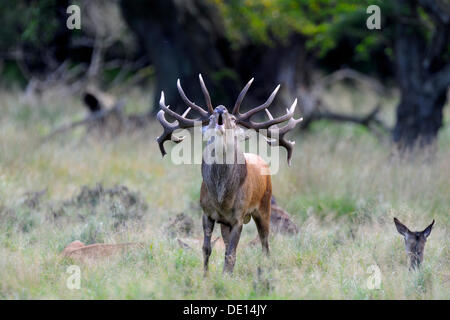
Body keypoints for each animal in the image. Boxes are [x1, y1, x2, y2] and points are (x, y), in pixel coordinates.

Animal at [156, 74, 300, 272]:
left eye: (233, 118)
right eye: (209, 118)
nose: (220, 108)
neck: (222, 198)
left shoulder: (238, 217)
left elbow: (231, 253)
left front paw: (226, 276)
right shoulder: (207, 213)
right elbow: (207, 249)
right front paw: (206, 275)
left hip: (265, 206)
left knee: (265, 243)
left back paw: (265, 266)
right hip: (227, 223)